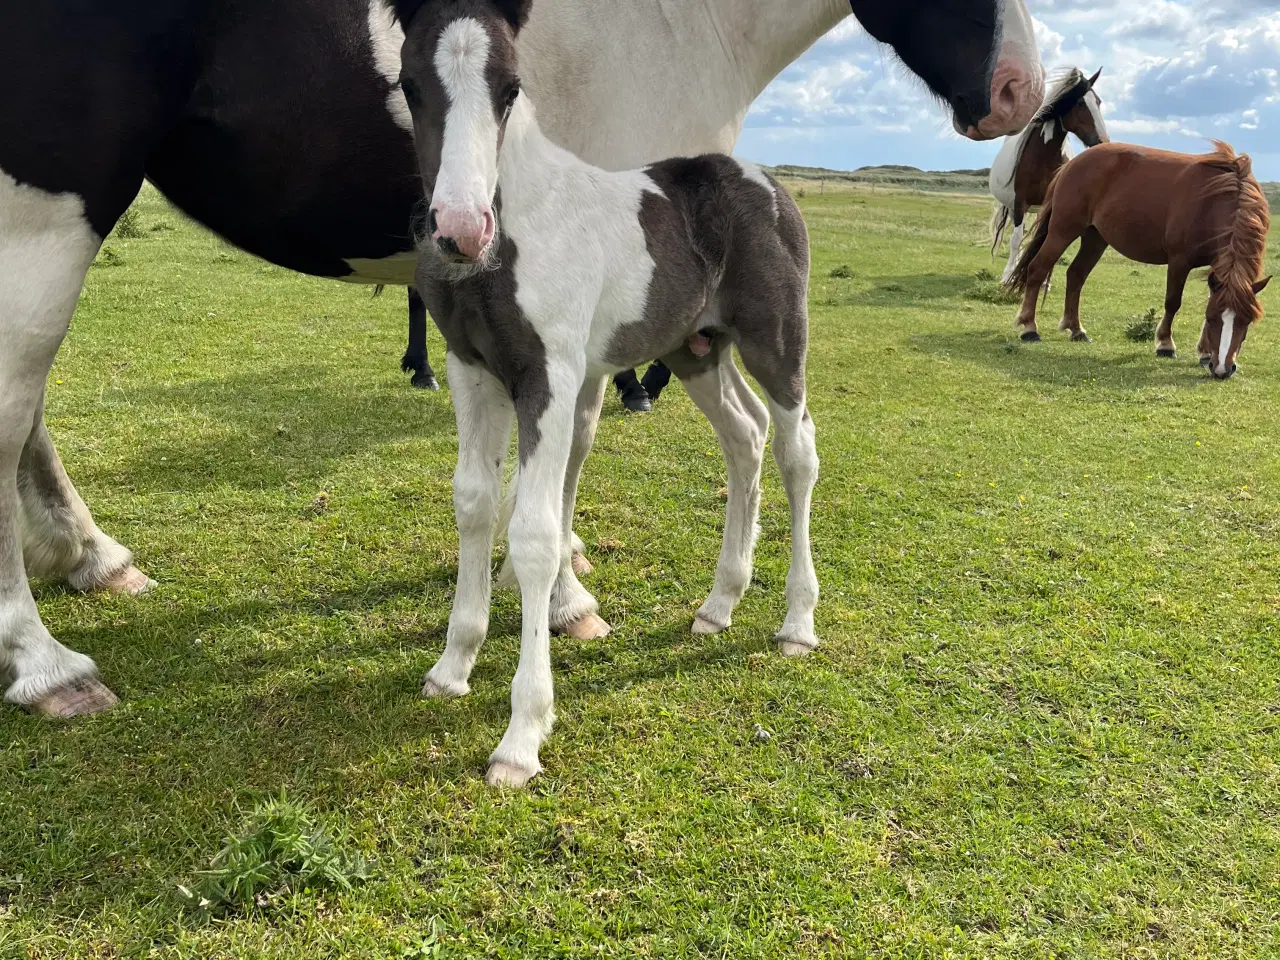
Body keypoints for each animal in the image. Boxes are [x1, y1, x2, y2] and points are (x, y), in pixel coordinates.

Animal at [394, 0, 824, 783]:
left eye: (511, 87)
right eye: (410, 85)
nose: (460, 232)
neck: (517, 227)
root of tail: (766, 183)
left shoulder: (551, 376)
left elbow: (536, 533)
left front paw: (523, 735)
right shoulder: (471, 369)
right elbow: (473, 504)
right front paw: (451, 666)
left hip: (777, 342)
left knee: (796, 451)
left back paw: (797, 622)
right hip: (697, 351)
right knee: (744, 436)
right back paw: (720, 603)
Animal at [988, 67, 1111, 284]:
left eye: (1098, 102)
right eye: (1080, 103)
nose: (1103, 141)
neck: (1044, 159)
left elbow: (1045, 240)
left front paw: (1045, 280)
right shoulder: (1020, 203)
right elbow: (1016, 240)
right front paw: (1008, 276)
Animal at [1008, 140, 1269, 378]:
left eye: (1246, 321)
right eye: (1214, 319)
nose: (1223, 369)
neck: (1214, 200)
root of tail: (1071, 165)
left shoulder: (1217, 263)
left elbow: (1209, 298)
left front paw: (1204, 352)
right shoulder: (1179, 260)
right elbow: (1173, 302)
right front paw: (1165, 344)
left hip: (1095, 237)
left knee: (1076, 275)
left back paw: (1076, 330)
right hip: (1063, 230)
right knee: (1038, 269)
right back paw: (1029, 328)